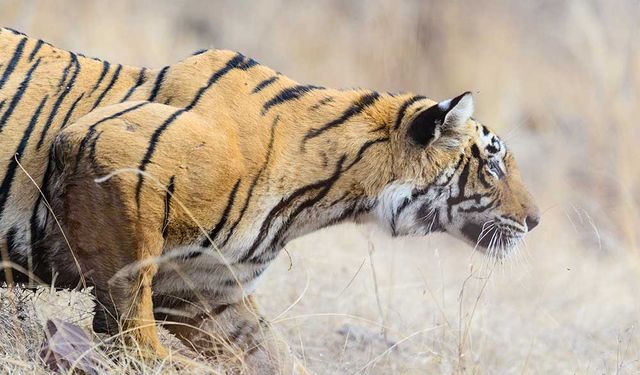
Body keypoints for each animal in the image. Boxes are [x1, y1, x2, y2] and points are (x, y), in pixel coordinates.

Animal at [0, 27, 540, 374]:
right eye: (493, 165)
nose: (535, 221)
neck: (325, 200)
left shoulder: (206, 291)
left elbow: (271, 355)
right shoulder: (110, 149)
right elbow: (134, 318)